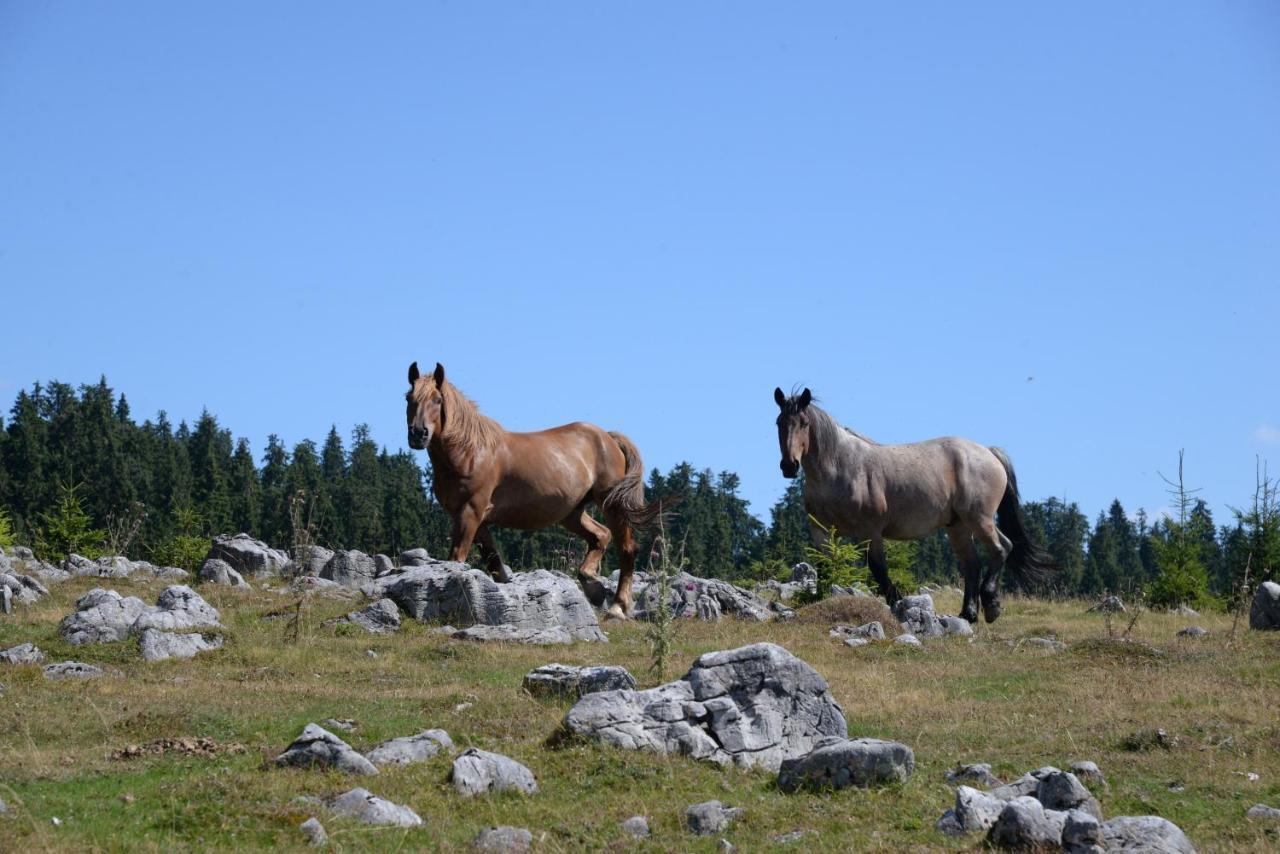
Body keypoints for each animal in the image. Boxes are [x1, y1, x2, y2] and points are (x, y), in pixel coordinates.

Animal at [404, 363, 665, 617]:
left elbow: (457, 557)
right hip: (571, 513)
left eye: (437, 399)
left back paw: (617, 607)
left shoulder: (470, 512)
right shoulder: (477, 520)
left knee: (627, 549)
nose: (418, 434)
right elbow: (494, 564)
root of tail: (608, 438)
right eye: (408, 397)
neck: (469, 452)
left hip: (611, 505)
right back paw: (594, 586)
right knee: (600, 535)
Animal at [773, 386, 1054, 622]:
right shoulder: (821, 530)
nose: (789, 466)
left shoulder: (869, 531)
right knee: (972, 564)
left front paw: (898, 604)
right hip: (958, 526)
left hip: (979, 519)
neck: (840, 467)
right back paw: (968, 614)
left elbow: (879, 569)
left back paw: (991, 606)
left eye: (804, 423)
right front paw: (820, 599)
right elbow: (824, 565)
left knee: (1001, 548)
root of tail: (988, 452)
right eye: (779, 423)